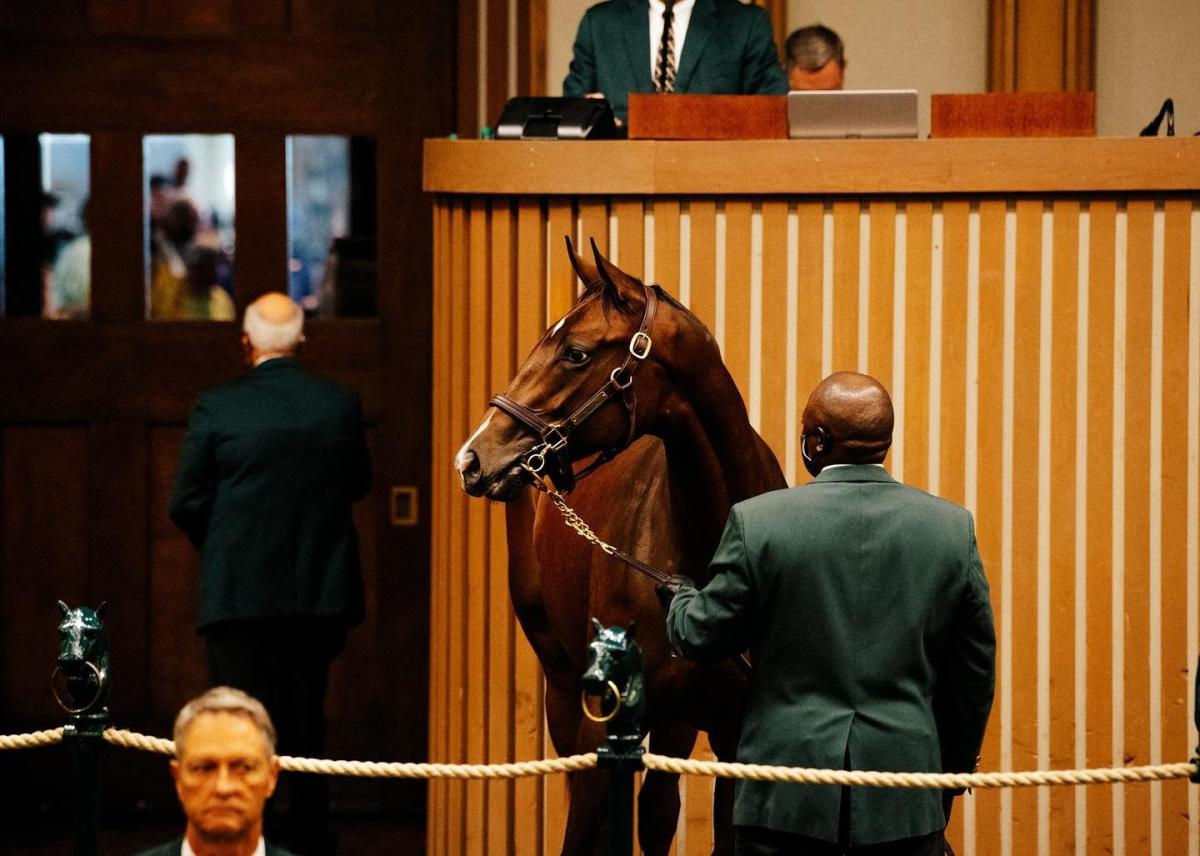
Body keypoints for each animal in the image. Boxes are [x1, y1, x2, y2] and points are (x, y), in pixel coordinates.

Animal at [453, 240, 782, 854]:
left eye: (576, 354)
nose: (473, 458)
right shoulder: (599, 724)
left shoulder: (733, 735)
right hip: (562, 683)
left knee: (657, 808)